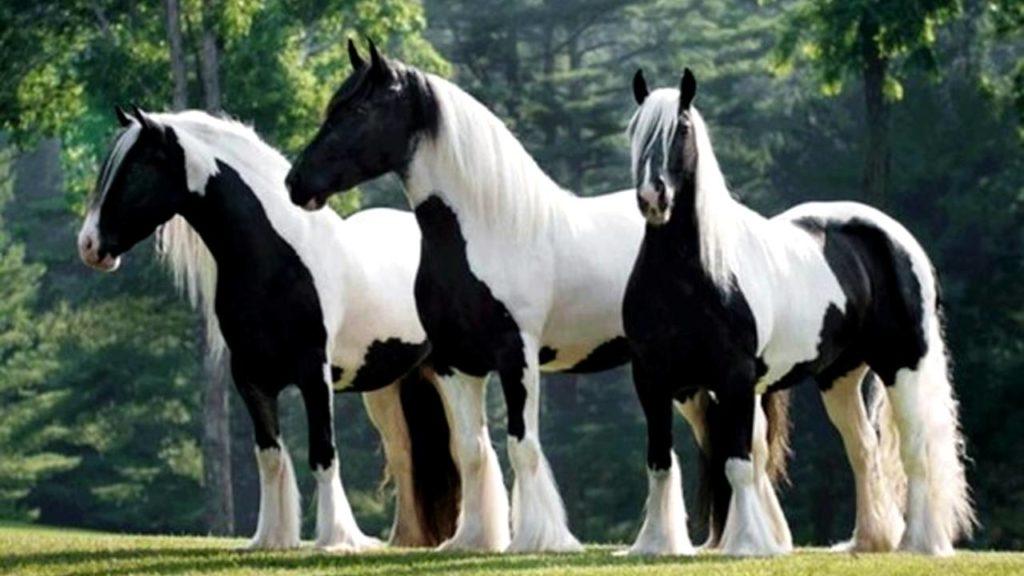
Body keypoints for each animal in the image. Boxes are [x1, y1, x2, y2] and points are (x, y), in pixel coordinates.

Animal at [76, 107, 459, 550]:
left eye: (137, 168)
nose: (89, 246)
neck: (277, 258)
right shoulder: (251, 378)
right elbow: (270, 456)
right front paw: (271, 539)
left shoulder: (314, 375)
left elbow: (323, 454)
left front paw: (334, 539)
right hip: (391, 388)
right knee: (406, 456)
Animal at [284, 40, 790, 554]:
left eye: (359, 110)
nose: (296, 183)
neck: (487, 230)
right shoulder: (453, 363)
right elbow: (470, 451)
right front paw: (473, 539)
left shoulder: (517, 356)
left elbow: (522, 444)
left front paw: (539, 537)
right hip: (683, 377)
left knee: (747, 445)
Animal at [623, 68, 975, 556]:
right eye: (636, 130)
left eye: (683, 129)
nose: (652, 198)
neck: (692, 275)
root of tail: (899, 240)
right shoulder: (655, 380)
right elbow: (659, 462)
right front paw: (656, 545)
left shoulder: (733, 378)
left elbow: (737, 463)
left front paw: (748, 545)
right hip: (839, 377)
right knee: (863, 449)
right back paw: (867, 540)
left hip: (903, 365)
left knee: (915, 448)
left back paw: (918, 544)